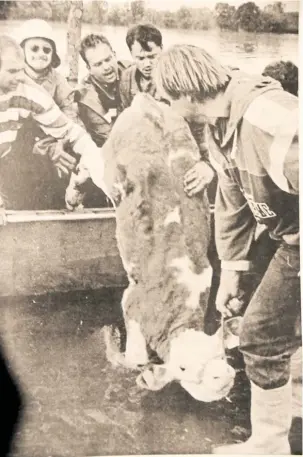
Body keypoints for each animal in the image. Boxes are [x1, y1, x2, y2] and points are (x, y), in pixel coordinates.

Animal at [67, 94, 242, 400]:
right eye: (183, 367)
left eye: (221, 355)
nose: (222, 375)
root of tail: (148, 102)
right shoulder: (132, 303)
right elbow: (136, 359)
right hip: (109, 171)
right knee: (89, 159)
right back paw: (73, 191)